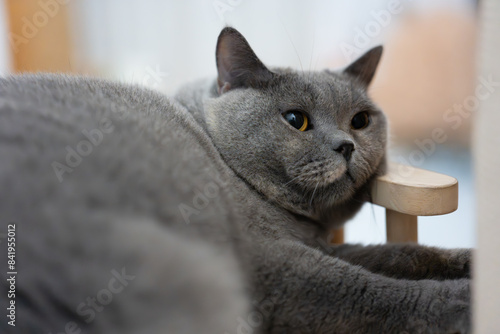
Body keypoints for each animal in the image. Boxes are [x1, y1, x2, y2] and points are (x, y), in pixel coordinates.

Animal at [0, 28, 468, 334]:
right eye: (296, 120)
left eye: (360, 121)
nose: (346, 146)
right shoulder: (275, 267)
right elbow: (369, 291)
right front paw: (465, 300)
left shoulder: (317, 247)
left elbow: (406, 254)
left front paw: (468, 263)